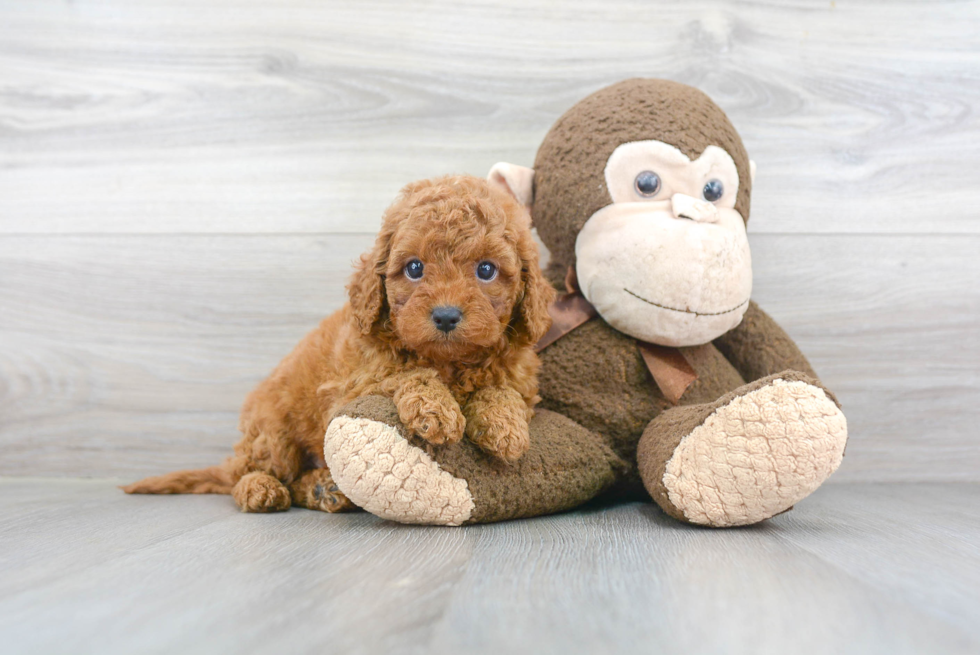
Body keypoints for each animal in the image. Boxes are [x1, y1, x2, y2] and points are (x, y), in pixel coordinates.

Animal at [121, 177, 552, 516]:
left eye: (486, 270)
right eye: (414, 268)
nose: (446, 316)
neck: (450, 362)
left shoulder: (520, 375)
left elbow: (504, 390)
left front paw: (505, 427)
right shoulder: (352, 384)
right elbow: (405, 373)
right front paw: (437, 409)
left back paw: (323, 489)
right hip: (271, 435)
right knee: (248, 474)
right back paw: (261, 489)